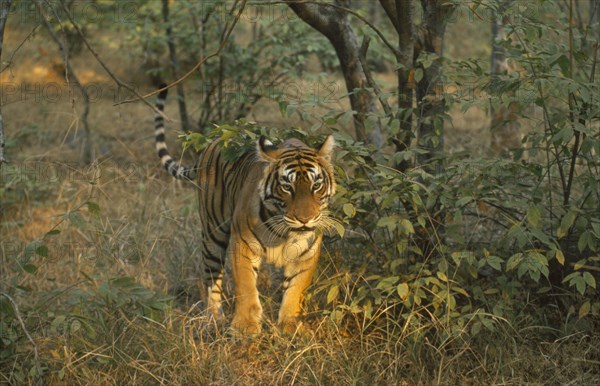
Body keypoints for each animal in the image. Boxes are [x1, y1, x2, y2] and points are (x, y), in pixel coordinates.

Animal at [152, 87, 336, 334]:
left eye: (316, 185)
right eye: (287, 186)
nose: (305, 219)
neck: (285, 233)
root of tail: (215, 137)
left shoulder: (306, 253)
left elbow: (295, 289)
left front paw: (291, 325)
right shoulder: (244, 244)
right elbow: (247, 286)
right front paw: (245, 328)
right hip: (213, 233)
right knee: (212, 280)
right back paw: (215, 318)